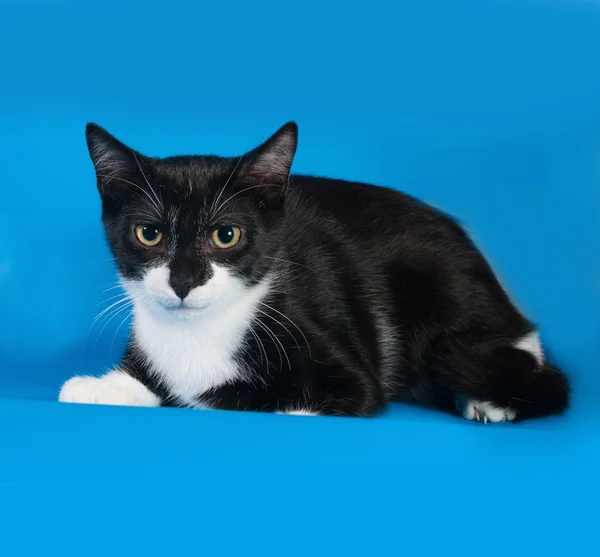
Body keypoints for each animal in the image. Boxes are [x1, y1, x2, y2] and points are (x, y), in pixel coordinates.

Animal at [58, 121, 568, 422]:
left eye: (226, 235)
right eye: (149, 234)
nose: (183, 281)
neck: (198, 334)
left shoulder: (350, 377)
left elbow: (280, 404)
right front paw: (99, 387)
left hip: (444, 284)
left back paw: (486, 399)